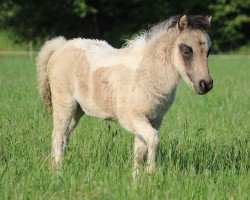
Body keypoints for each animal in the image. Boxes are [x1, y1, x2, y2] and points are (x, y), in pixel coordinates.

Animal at [36, 15, 213, 178]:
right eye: (186, 50)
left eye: (208, 52)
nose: (205, 84)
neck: (146, 73)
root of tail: (62, 46)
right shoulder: (132, 118)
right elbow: (153, 139)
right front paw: (151, 172)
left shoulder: (153, 119)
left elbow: (140, 150)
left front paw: (136, 180)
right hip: (64, 104)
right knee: (58, 136)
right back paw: (57, 172)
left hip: (76, 111)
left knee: (65, 136)